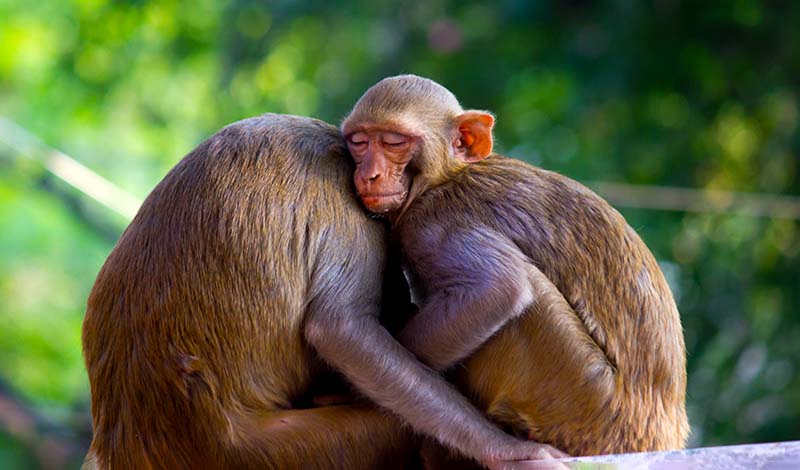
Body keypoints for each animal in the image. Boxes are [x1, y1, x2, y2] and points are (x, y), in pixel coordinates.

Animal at [79, 112, 556, 468]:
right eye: (372, 144)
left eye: (392, 144)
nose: (373, 175)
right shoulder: (348, 207)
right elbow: (340, 328)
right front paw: (506, 451)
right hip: (277, 453)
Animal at [340, 75, 692, 460]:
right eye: (359, 142)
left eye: (393, 142)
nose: (369, 174)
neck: (443, 178)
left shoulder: (432, 225)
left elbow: (498, 288)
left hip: (583, 401)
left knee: (527, 290)